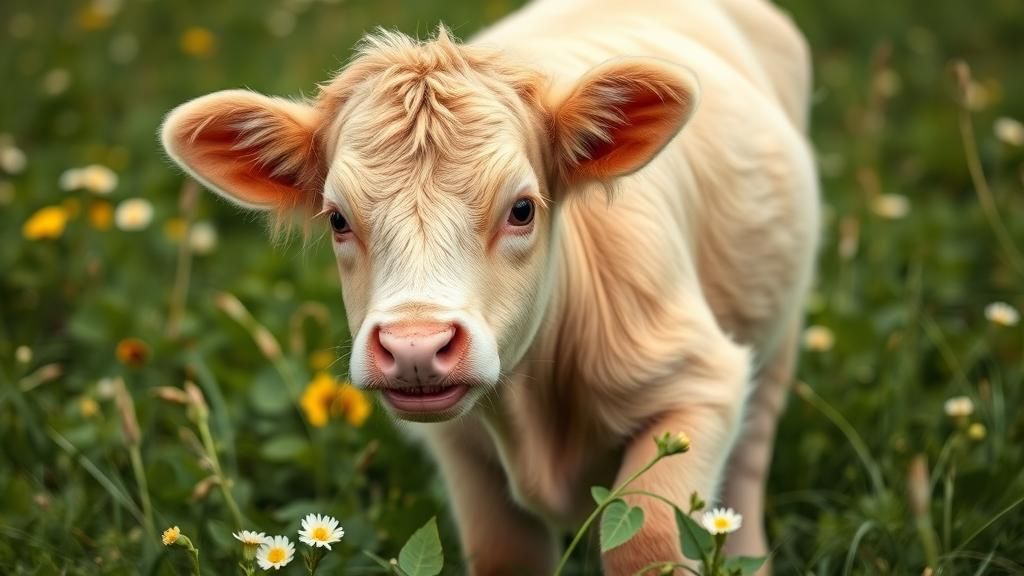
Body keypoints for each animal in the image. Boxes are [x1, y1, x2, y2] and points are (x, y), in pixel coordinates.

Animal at [160, 0, 819, 573]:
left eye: (522, 209)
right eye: (338, 220)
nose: (415, 346)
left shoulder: (700, 384)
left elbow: (646, 542)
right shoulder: (462, 454)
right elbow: (505, 554)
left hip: (779, 329)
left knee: (749, 459)